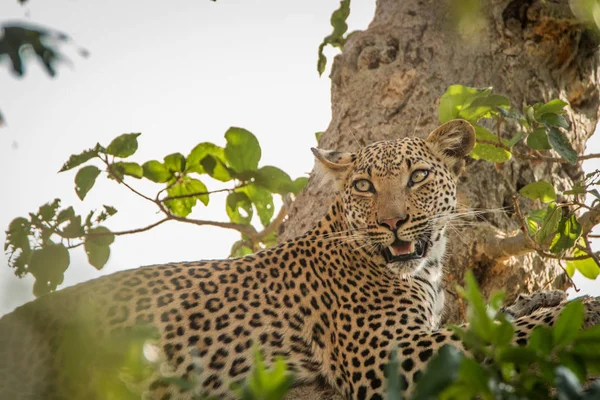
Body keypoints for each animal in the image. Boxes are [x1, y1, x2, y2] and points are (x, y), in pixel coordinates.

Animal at [1, 119, 600, 400]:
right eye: (363, 185)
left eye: (417, 177)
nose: (393, 222)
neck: (424, 270)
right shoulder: (389, 353)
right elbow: (493, 337)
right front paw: (584, 312)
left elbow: (496, 320)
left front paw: (545, 298)